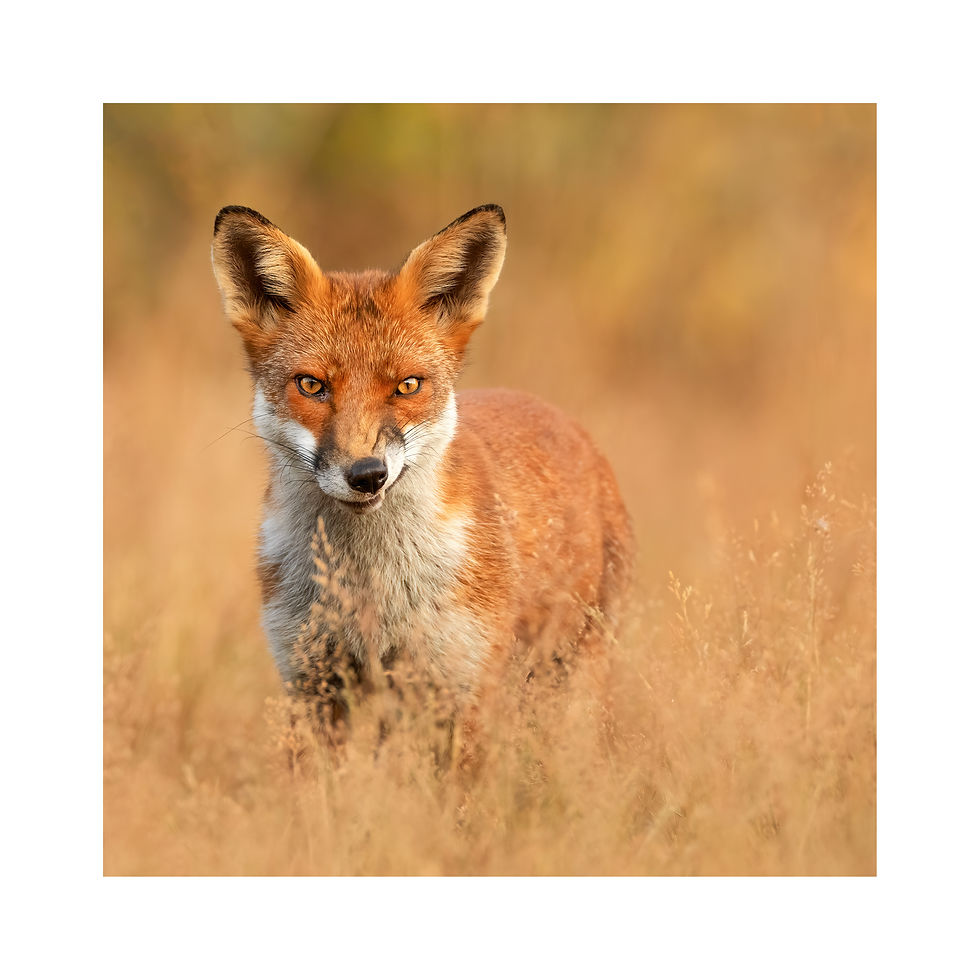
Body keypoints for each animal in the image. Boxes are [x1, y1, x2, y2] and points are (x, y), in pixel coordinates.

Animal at [211, 203, 633, 723]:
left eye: (407, 386)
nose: (367, 475)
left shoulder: (464, 685)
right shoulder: (313, 684)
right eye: (311, 385)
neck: (371, 589)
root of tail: (560, 416)